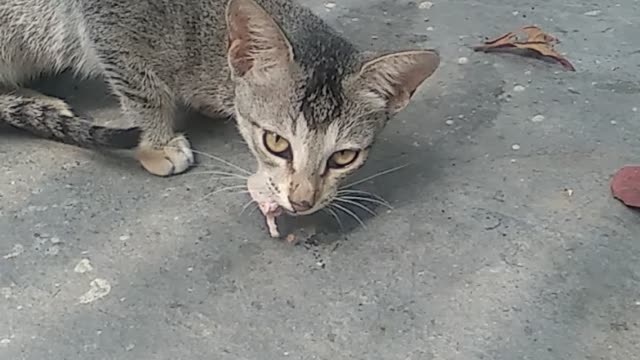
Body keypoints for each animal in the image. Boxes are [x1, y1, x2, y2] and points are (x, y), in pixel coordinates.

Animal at [0, 0, 440, 221]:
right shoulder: (110, 20)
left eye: (344, 157)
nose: (302, 202)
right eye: (276, 142)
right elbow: (142, 87)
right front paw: (156, 142)